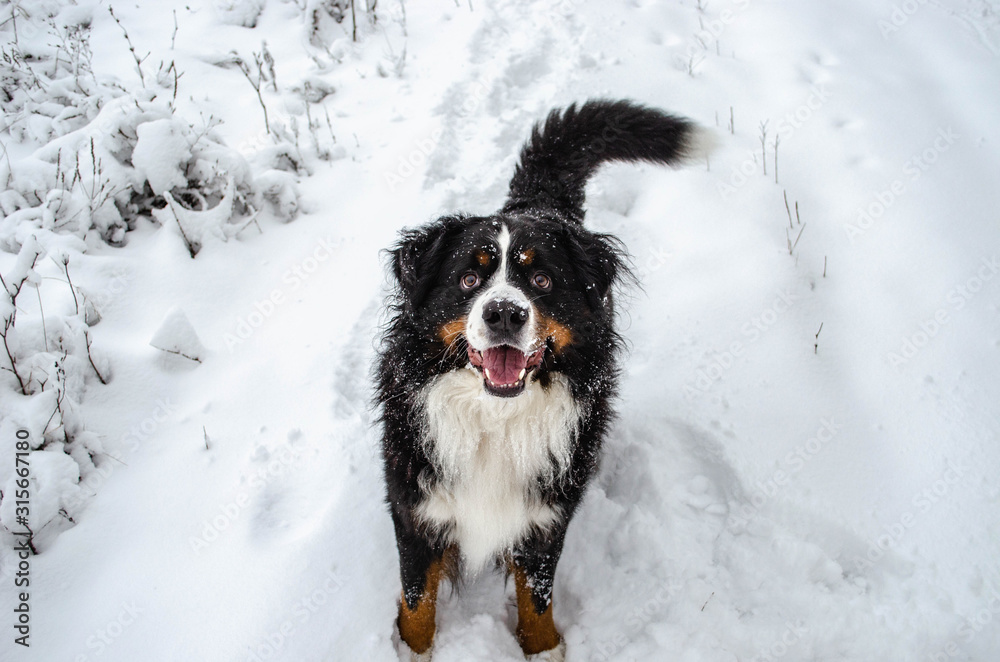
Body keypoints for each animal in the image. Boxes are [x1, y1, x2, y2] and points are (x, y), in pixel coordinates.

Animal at [376, 100, 712, 662]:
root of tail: (539, 201)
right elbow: (418, 598)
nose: (504, 314)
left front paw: (545, 649)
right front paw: (412, 651)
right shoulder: (415, 506)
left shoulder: (546, 514)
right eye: (469, 279)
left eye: (540, 280)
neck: (495, 418)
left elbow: (537, 594)